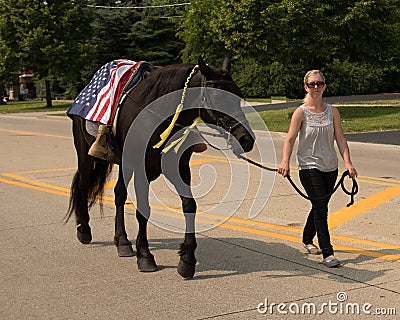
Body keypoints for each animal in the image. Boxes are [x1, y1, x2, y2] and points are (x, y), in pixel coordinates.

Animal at [65, 57, 253, 278]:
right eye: (217, 96)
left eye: (238, 96)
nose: (246, 139)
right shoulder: (141, 170)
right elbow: (143, 211)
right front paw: (145, 256)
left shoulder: (179, 169)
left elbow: (189, 206)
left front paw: (187, 259)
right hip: (85, 156)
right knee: (83, 186)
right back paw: (84, 229)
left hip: (124, 164)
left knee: (119, 194)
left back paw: (122, 242)